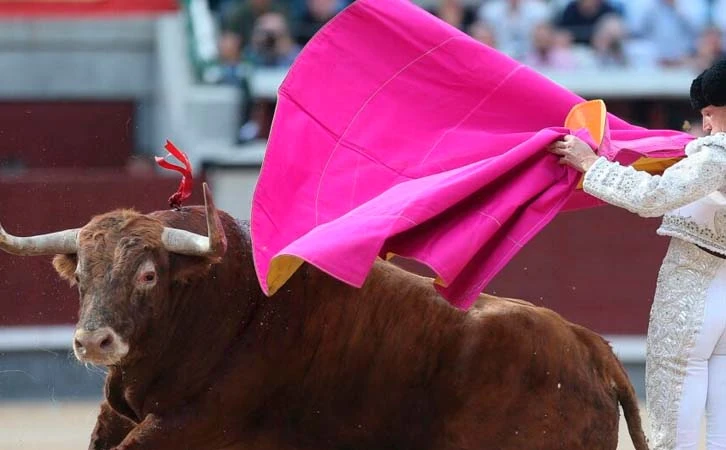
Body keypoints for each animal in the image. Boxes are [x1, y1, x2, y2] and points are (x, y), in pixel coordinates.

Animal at [0, 184, 648, 450]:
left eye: (149, 276)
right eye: (80, 274)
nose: (94, 342)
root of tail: (593, 349)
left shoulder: (191, 426)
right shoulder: (118, 415)